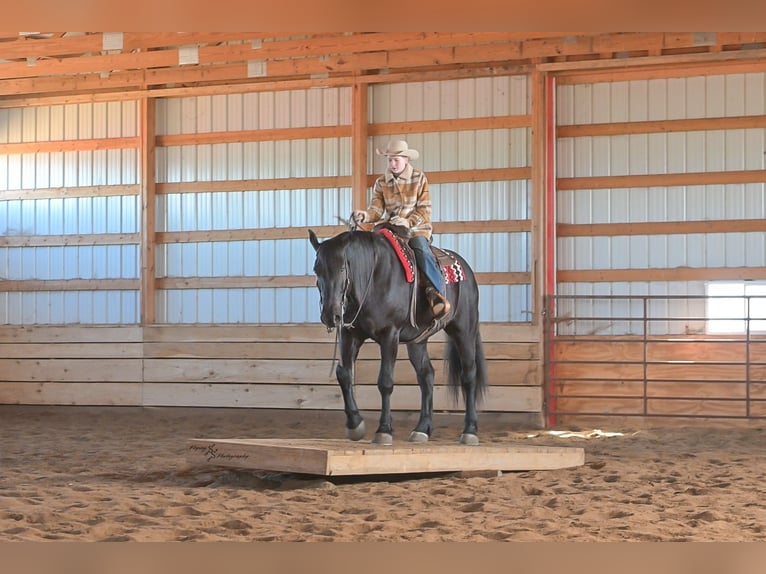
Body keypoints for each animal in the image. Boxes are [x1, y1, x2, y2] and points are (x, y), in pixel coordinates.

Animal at [308, 222, 488, 445]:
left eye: (342, 267)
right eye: (317, 270)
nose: (330, 315)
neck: (373, 278)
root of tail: (466, 269)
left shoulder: (389, 335)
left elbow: (385, 381)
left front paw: (384, 430)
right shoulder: (351, 335)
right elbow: (344, 374)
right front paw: (355, 424)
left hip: (464, 329)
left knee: (469, 375)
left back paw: (470, 431)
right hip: (418, 341)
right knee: (426, 376)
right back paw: (422, 429)